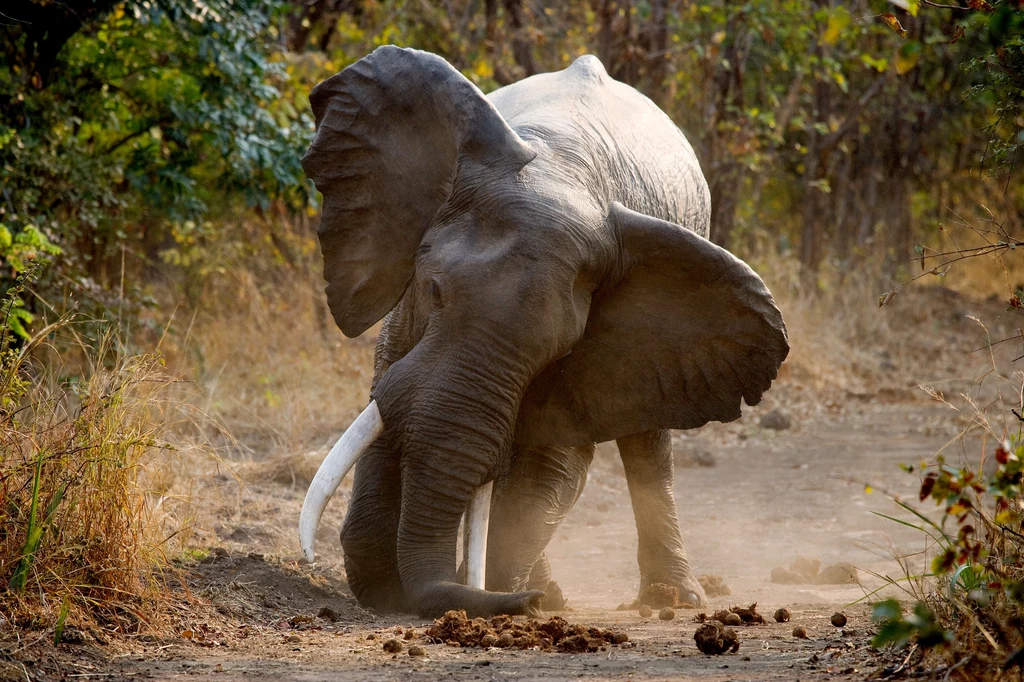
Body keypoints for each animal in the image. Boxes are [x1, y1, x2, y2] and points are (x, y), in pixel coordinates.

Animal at [296, 45, 790, 618]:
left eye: (555, 351)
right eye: (433, 291)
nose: (524, 604)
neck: (562, 170)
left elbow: (552, 465)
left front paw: (505, 590)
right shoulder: (404, 319)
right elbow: (381, 413)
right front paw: (389, 591)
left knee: (645, 445)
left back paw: (666, 596)